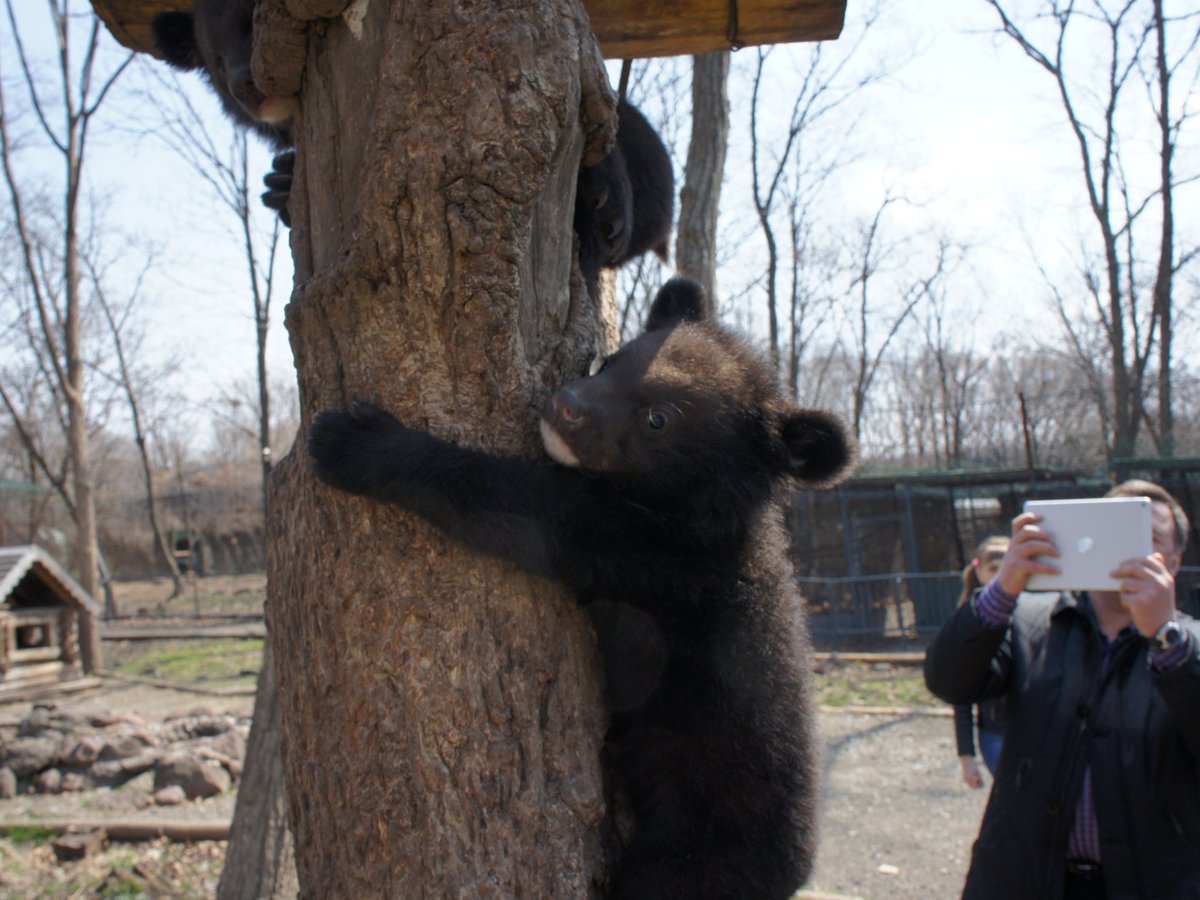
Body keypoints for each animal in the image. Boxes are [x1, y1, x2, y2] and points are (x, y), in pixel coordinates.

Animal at [309, 278, 854, 897]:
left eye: (658, 420)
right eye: (612, 361)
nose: (564, 406)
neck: (690, 512)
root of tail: (795, 871)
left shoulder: (657, 557)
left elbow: (527, 511)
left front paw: (358, 442)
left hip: (694, 859)